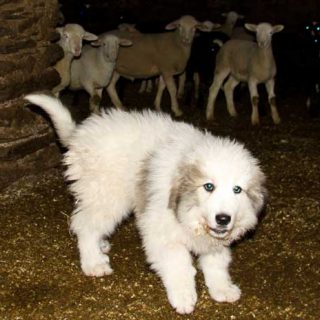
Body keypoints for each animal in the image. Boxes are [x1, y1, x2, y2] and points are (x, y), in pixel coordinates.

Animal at [25, 93, 266, 316]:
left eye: (237, 190)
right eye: (208, 186)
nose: (223, 219)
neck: (190, 215)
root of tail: (80, 135)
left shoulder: (213, 241)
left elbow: (217, 263)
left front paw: (223, 289)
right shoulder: (161, 232)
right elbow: (179, 263)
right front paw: (183, 297)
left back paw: (101, 247)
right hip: (107, 196)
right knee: (85, 226)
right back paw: (94, 263)